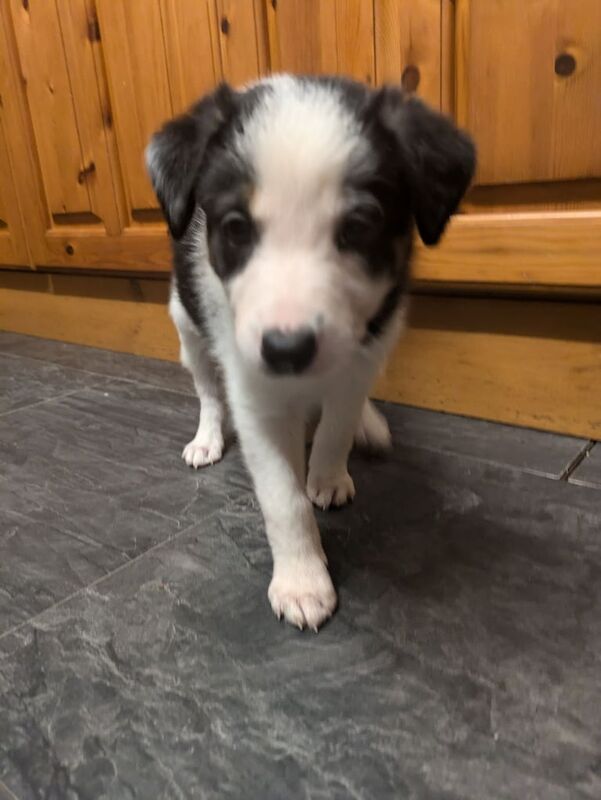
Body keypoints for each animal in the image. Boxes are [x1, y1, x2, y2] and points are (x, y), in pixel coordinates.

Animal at [145, 73, 474, 632]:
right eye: (235, 228)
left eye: (360, 227)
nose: (286, 350)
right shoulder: (256, 394)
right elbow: (284, 499)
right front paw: (302, 581)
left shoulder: (361, 354)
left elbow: (335, 429)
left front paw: (328, 473)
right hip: (187, 324)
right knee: (208, 390)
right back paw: (207, 438)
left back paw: (367, 425)